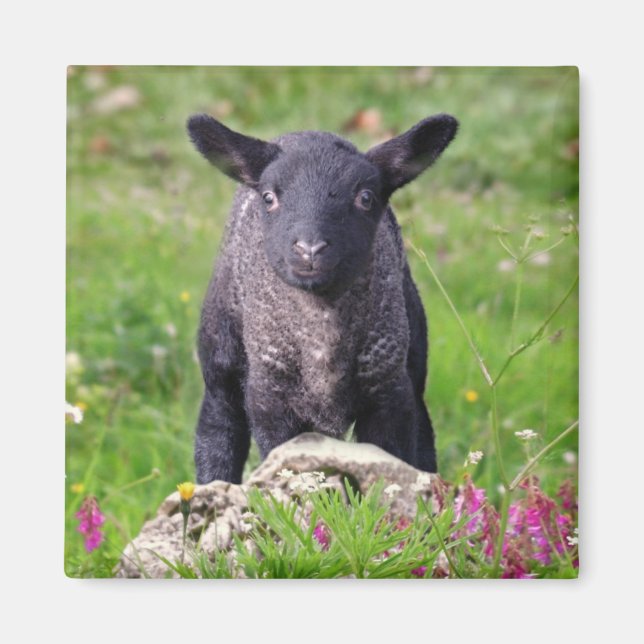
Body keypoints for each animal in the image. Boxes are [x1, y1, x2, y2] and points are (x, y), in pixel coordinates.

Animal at [187, 112, 458, 484]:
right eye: (269, 198)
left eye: (365, 197)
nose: (310, 249)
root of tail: (305, 132)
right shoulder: (270, 400)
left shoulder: (389, 394)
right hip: (221, 355)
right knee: (218, 427)